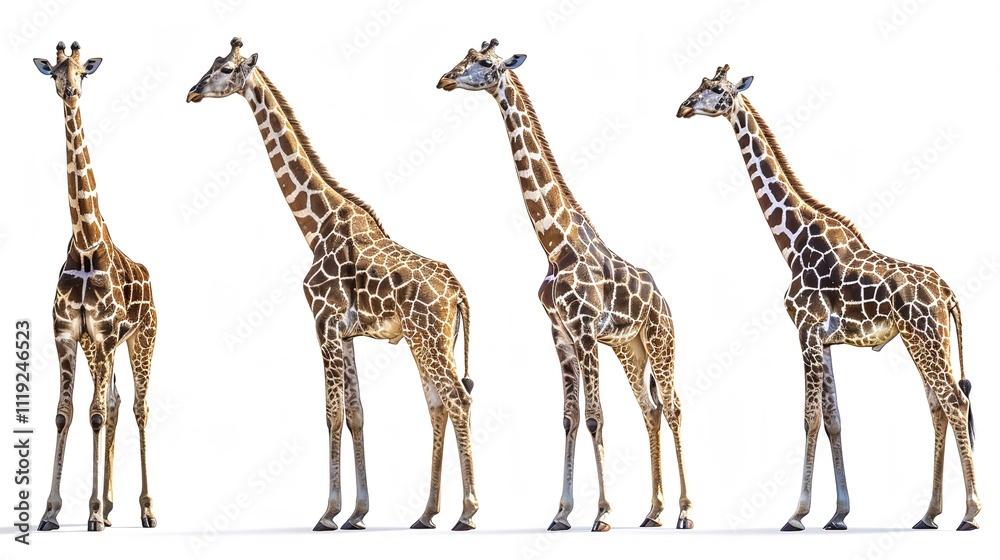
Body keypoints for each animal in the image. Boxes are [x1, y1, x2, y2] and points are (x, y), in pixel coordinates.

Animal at [32, 41, 158, 532]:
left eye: (83, 72)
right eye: (53, 71)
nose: (69, 92)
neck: (86, 246)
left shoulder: (105, 335)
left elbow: (95, 414)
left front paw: (89, 513)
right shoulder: (70, 335)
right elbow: (65, 414)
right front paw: (51, 511)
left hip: (143, 338)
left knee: (138, 407)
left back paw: (145, 509)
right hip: (98, 348)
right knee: (118, 402)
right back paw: (108, 505)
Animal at [187, 38, 478, 531]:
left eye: (224, 69)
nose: (192, 92)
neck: (315, 224)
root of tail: (458, 293)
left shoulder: (322, 322)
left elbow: (331, 413)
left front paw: (328, 512)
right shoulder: (345, 332)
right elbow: (356, 413)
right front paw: (358, 512)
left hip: (430, 340)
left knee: (458, 398)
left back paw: (469, 512)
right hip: (429, 341)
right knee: (439, 403)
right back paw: (426, 514)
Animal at [438, 39, 692, 532]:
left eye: (484, 63)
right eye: (465, 57)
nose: (444, 79)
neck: (556, 245)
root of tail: (666, 302)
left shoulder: (587, 330)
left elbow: (594, 417)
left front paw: (603, 513)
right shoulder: (560, 334)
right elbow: (570, 418)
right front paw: (561, 512)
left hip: (661, 341)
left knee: (672, 407)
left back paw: (686, 512)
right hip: (630, 350)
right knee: (650, 410)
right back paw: (653, 511)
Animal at [677, 65, 979, 531]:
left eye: (715, 88)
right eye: (700, 86)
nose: (683, 107)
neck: (792, 242)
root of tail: (947, 291)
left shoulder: (806, 330)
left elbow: (810, 418)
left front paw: (797, 514)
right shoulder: (824, 339)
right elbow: (834, 419)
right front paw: (838, 514)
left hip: (925, 338)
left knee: (955, 401)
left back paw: (971, 513)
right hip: (926, 340)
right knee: (938, 406)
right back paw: (928, 514)